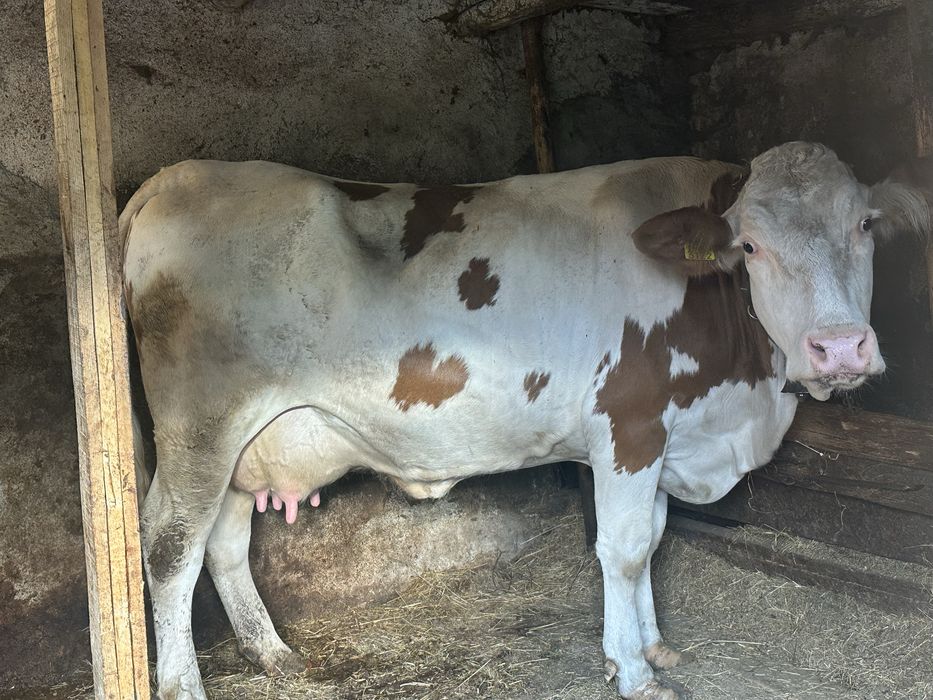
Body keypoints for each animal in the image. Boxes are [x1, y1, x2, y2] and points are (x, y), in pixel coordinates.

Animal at [121, 142, 928, 700]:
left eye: (863, 225)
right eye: (751, 245)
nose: (839, 347)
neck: (740, 402)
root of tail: (175, 178)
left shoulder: (668, 436)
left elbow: (651, 541)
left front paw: (650, 646)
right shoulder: (629, 427)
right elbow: (624, 550)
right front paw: (634, 671)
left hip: (246, 447)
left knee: (224, 544)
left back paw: (270, 652)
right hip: (201, 425)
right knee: (170, 545)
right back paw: (183, 684)